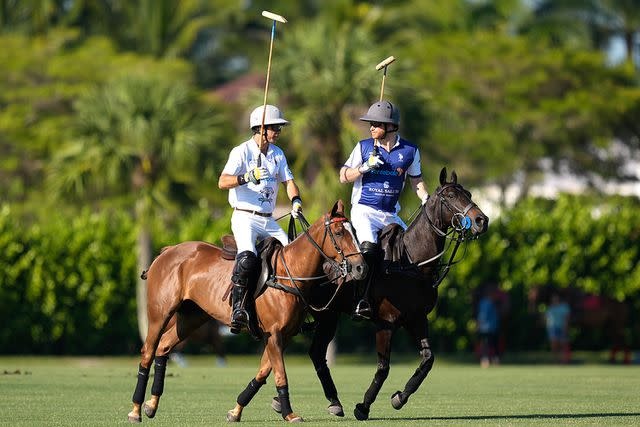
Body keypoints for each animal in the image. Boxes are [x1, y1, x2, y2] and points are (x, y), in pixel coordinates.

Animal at [125, 201, 368, 424]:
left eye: (355, 231)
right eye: (339, 232)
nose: (360, 268)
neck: (289, 273)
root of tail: (166, 251)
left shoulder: (284, 335)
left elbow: (263, 372)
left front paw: (236, 410)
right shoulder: (274, 334)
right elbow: (280, 374)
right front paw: (289, 414)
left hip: (191, 318)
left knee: (164, 347)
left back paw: (151, 405)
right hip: (160, 313)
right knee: (148, 351)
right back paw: (136, 409)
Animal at [268, 167, 488, 422]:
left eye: (469, 193)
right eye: (451, 196)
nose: (482, 221)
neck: (411, 263)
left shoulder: (417, 319)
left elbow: (428, 359)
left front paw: (399, 397)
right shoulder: (386, 323)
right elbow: (383, 368)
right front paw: (363, 407)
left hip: (328, 315)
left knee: (314, 353)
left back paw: (328, 402)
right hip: (321, 314)